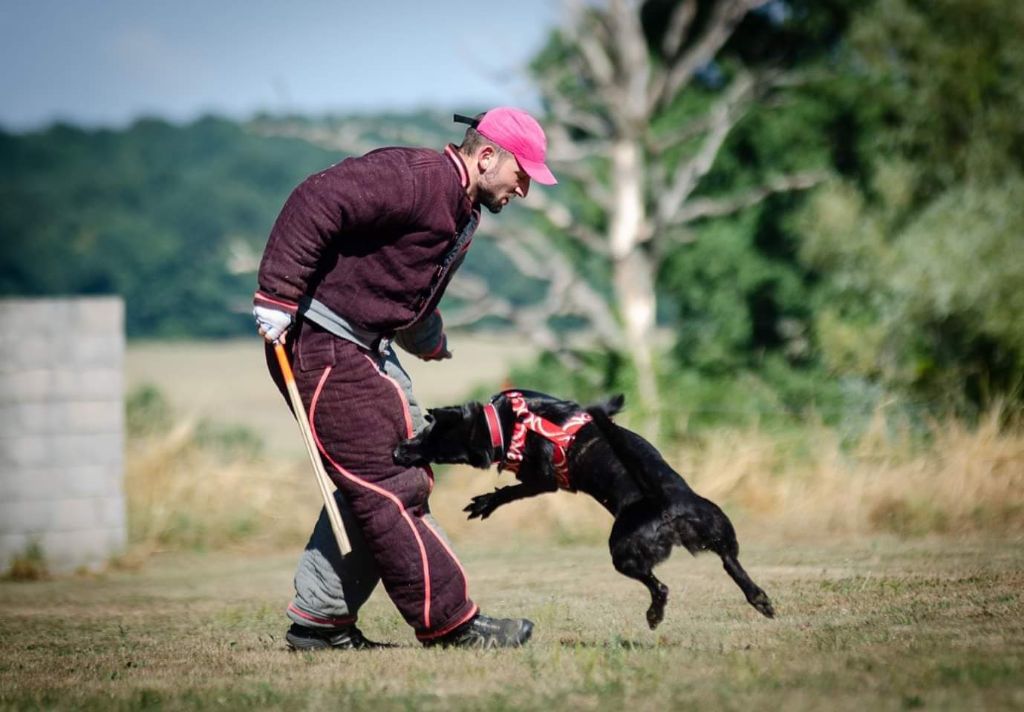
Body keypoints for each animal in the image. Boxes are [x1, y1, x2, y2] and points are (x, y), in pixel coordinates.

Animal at [393, 389, 774, 631]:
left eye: (434, 447)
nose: (397, 452)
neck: (504, 422)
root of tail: (663, 500)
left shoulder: (543, 480)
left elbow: (511, 491)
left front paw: (484, 503)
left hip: (622, 551)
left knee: (661, 586)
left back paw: (654, 615)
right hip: (717, 528)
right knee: (730, 563)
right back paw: (760, 600)